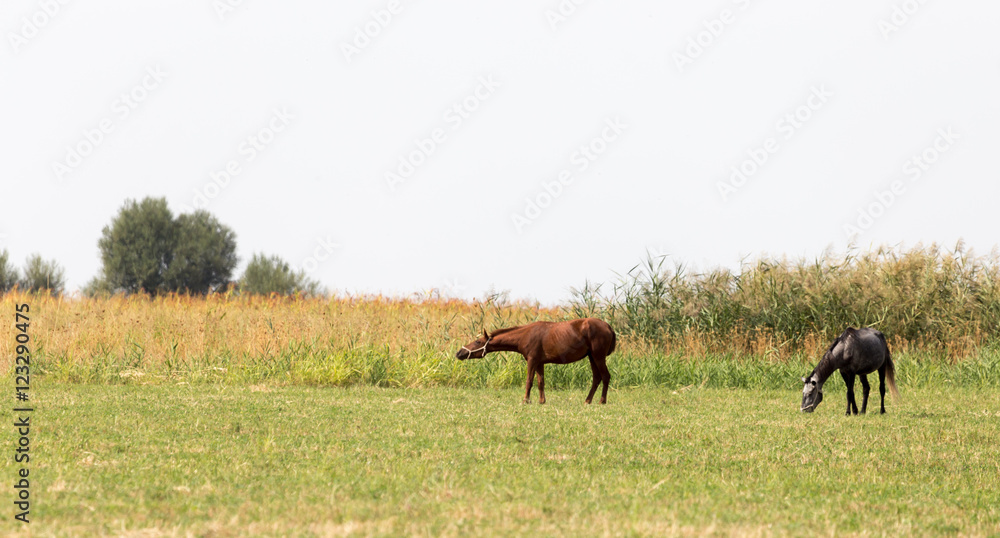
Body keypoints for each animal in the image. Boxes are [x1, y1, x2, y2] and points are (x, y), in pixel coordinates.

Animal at [460, 314, 616, 402]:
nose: (459, 353)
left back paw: (602, 401)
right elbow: (541, 382)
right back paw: (588, 401)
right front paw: (542, 401)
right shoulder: (540, 363)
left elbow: (529, 381)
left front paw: (526, 400)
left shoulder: (532, 360)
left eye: (478, 342)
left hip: (598, 357)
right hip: (592, 357)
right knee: (597, 378)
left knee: (605, 376)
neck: (525, 335)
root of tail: (608, 326)